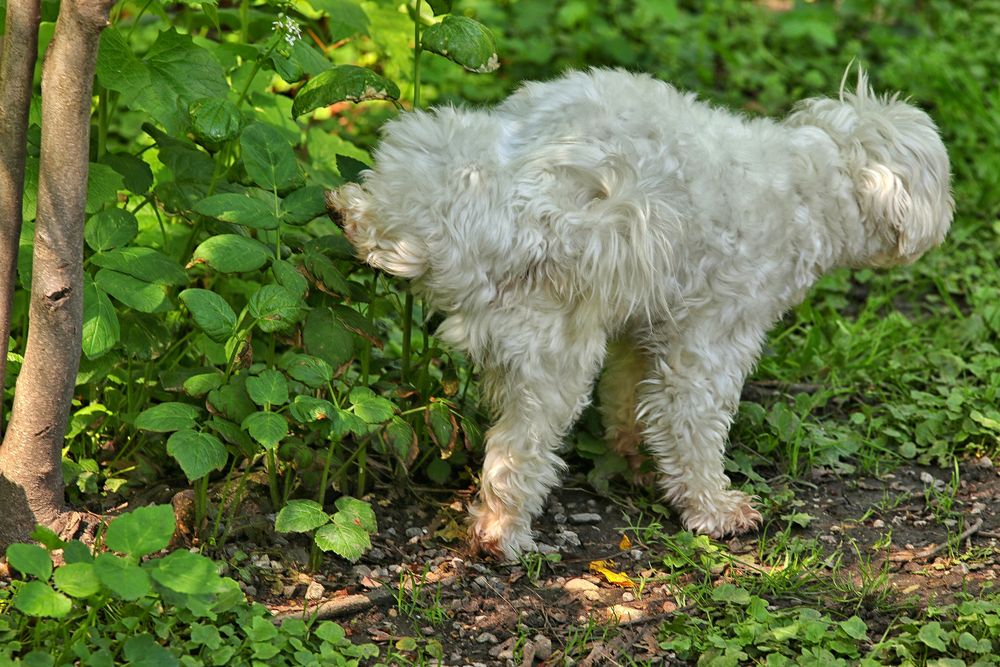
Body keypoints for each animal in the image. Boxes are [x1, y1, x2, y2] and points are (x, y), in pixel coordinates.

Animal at [328, 68, 952, 560]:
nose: (947, 217)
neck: (811, 186)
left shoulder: (643, 328)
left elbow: (628, 396)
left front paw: (633, 453)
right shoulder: (712, 343)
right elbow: (691, 425)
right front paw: (713, 507)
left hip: (444, 147)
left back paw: (354, 214)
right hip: (554, 356)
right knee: (516, 451)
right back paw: (501, 534)